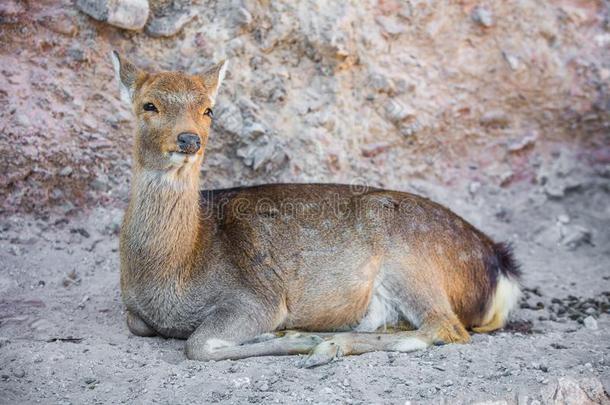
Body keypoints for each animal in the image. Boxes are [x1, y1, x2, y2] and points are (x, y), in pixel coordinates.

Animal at [111, 49, 520, 366]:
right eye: (149, 105)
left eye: (208, 110)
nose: (188, 139)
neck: (174, 273)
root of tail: (501, 265)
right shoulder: (136, 313)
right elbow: (141, 325)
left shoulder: (257, 296)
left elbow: (197, 344)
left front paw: (292, 338)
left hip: (412, 258)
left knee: (445, 327)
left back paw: (327, 344)